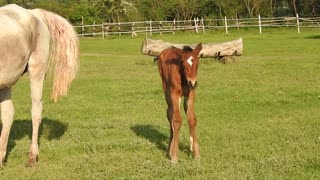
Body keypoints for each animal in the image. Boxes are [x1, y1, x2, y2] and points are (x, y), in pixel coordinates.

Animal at [0, 4, 79, 167]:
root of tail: (33, 13)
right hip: (6, 81)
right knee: (8, 114)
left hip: (36, 69)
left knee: (36, 111)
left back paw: (32, 156)